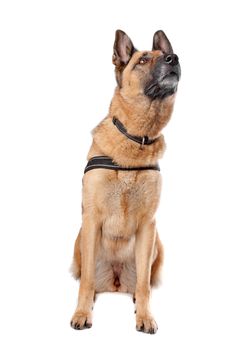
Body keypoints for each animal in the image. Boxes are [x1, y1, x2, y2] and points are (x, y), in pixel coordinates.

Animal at [70, 29, 181, 334]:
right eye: (142, 60)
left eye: (168, 54)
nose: (174, 58)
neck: (136, 138)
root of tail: (116, 282)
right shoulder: (91, 219)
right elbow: (86, 282)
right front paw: (82, 313)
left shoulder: (147, 226)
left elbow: (144, 284)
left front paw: (145, 316)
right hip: (79, 241)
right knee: (88, 279)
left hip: (158, 244)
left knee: (143, 281)